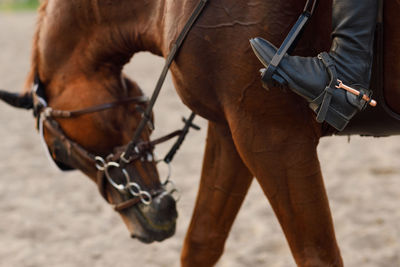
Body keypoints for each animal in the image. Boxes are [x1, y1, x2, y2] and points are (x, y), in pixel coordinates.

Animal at [0, 0, 398, 266]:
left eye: (60, 155)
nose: (151, 223)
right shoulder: (233, 129)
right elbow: (202, 241)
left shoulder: (276, 136)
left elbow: (316, 254)